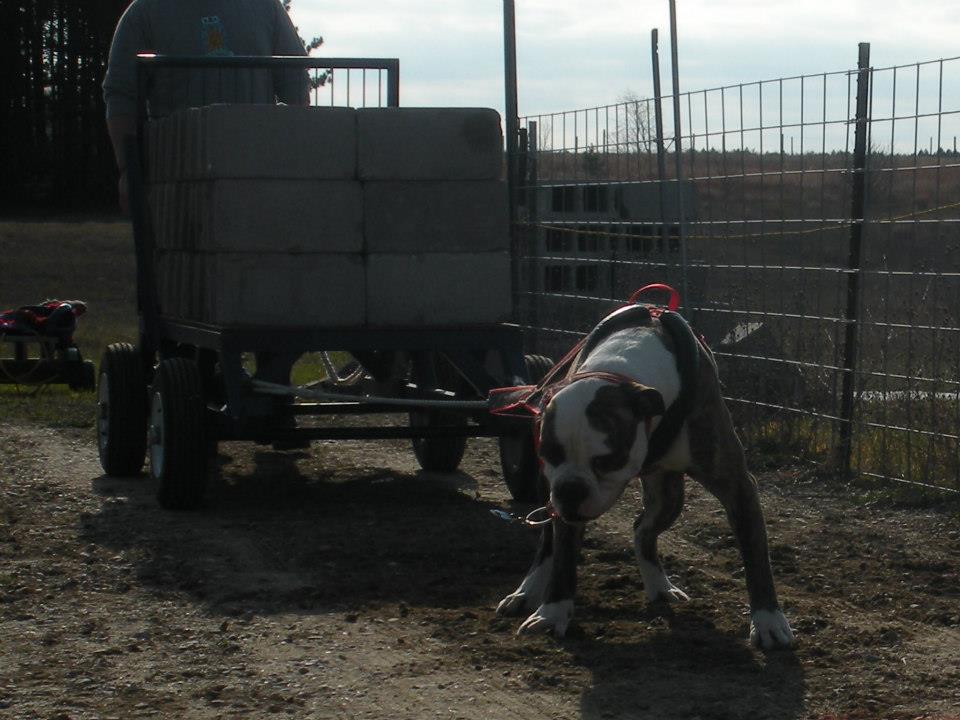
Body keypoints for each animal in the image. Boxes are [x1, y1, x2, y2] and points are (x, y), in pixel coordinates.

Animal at [496, 302, 796, 648]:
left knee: (643, 529)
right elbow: (563, 557)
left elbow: (756, 557)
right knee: (549, 543)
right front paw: (553, 612)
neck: (623, 372)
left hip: (668, 497)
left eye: (608, 460)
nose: (570, 491)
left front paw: (768, 619)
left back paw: (659, 585)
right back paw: (527, 591)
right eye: (549, 453)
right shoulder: (561, 498)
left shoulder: (738, 487)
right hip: (556, 495)